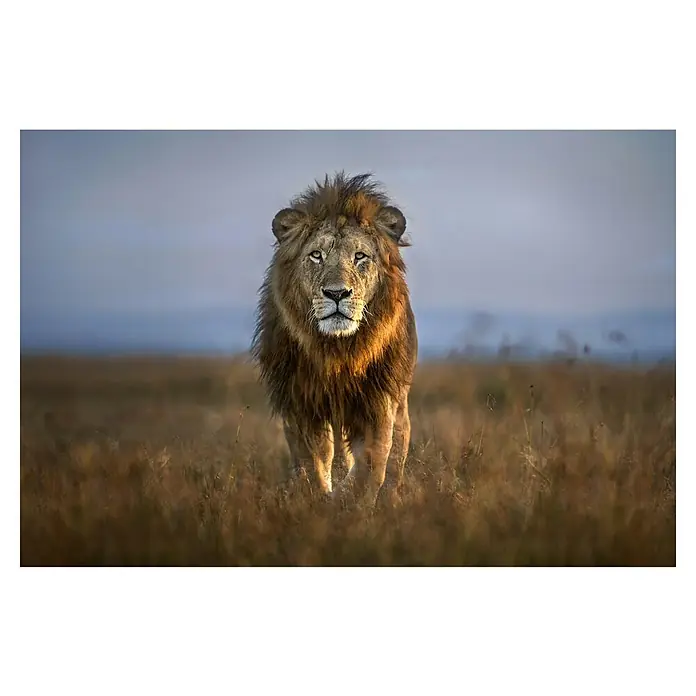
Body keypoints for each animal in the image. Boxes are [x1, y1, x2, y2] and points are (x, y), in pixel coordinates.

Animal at [251, 172, 418, 505]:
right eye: (316, 255)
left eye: (360, 256)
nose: (337, 293)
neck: (338, 350)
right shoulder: (300, 401)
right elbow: (313, 459)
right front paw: (317, 497)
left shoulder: (378, 400)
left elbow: (373, 460)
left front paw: (351, 501)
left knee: (395, 454)